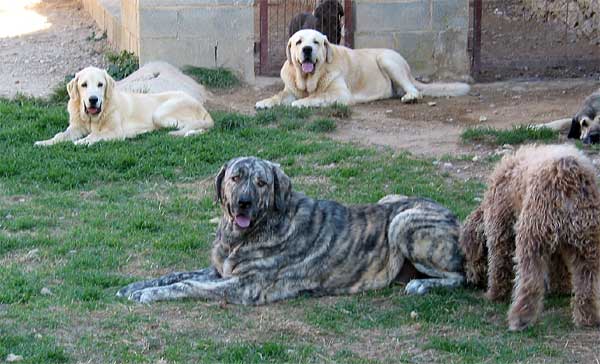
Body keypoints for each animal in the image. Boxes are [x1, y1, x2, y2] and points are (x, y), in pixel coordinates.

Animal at [34, 65, 213, 146]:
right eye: (84, 85)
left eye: (100, 84)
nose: (93, 99)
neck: (93, 117)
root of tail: (202, 108)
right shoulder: (76, 128)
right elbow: (60, 135)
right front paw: (45, 142)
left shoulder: (114, 132)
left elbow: (95, 135)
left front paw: (82, 142)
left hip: (161, 113)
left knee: (198, 126)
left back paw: (189, 133)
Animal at [117, 156, 464, 304]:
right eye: (235, 177)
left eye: (261, 183)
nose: (243, 203)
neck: (241, 237)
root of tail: (457, 220)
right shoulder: (220, 271)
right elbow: (175, 274)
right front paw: (135, 286)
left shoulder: (245, 287)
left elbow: (186, 285)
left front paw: (148, 294)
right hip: (392, 199)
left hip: (402, 223)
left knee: (462, 276)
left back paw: (422, 285)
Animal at [255, 28, 472, 108]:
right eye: (299, 42)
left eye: (316, 42)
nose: (307, 49)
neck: (310, 79)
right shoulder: (290, 89)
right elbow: (279, 96)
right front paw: (265, 102)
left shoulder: (340, 94)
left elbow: (317, 96)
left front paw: (301, 103)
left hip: (387, 60)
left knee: (415, 89)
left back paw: (410, 97)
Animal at [460, 144, 600, 332]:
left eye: (467, 255)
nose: (470, 280)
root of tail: (566, 174)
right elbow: (560, 267)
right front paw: (561, 287)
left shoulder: (500, 230)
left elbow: (499, 266)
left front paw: (495, 294)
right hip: (587, 243)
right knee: (588, 284)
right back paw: (588, 318)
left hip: (532, 238)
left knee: (530, 283)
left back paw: (521, 319)